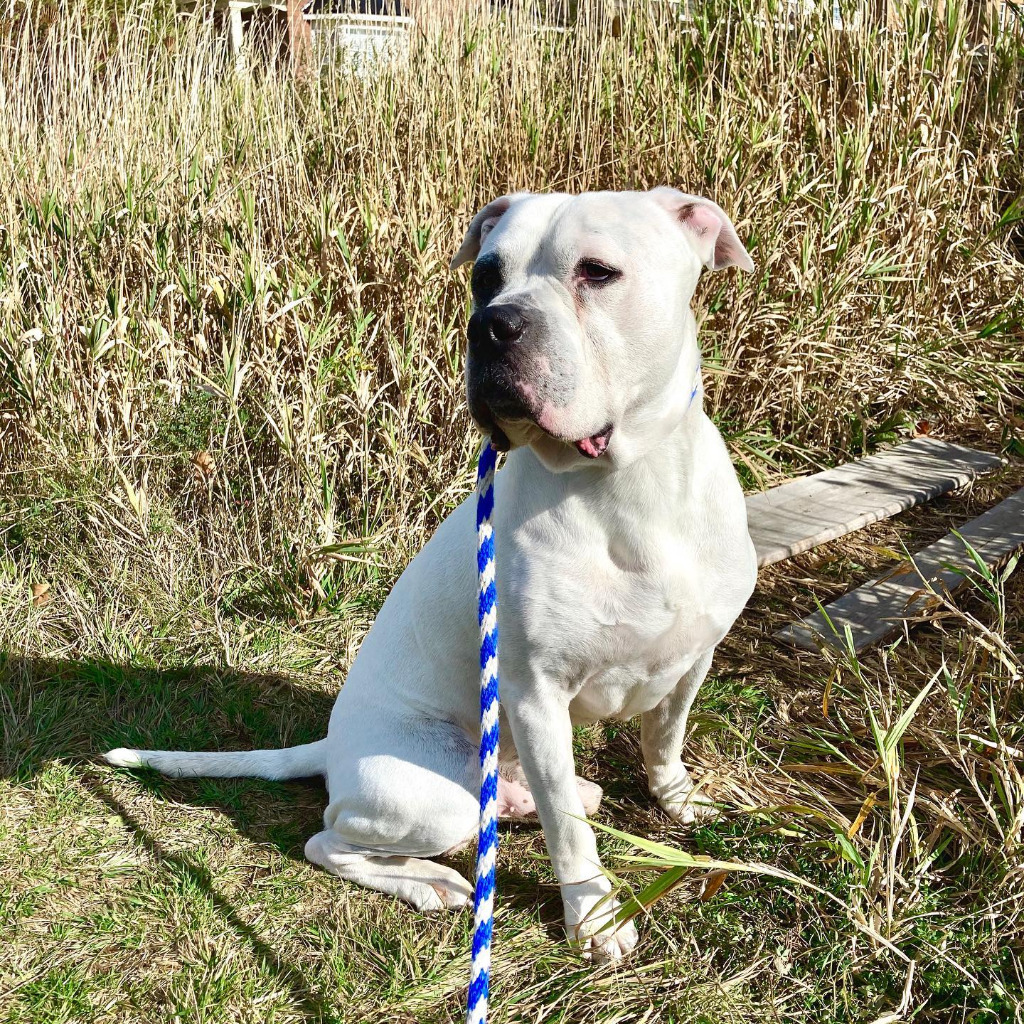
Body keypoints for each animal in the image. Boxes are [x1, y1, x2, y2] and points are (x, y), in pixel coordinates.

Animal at [105, 190, 761, 958]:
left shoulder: (693, 658)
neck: (630, 486)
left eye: (598, 272)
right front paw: (592, 914)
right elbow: (572, 836)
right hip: (440, 791)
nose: (492, 325)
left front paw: (677, 799)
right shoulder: (536, 696)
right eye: (484, 275)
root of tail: (334, 746)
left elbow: (665, 738)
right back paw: (432, 882)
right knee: (330, 841)